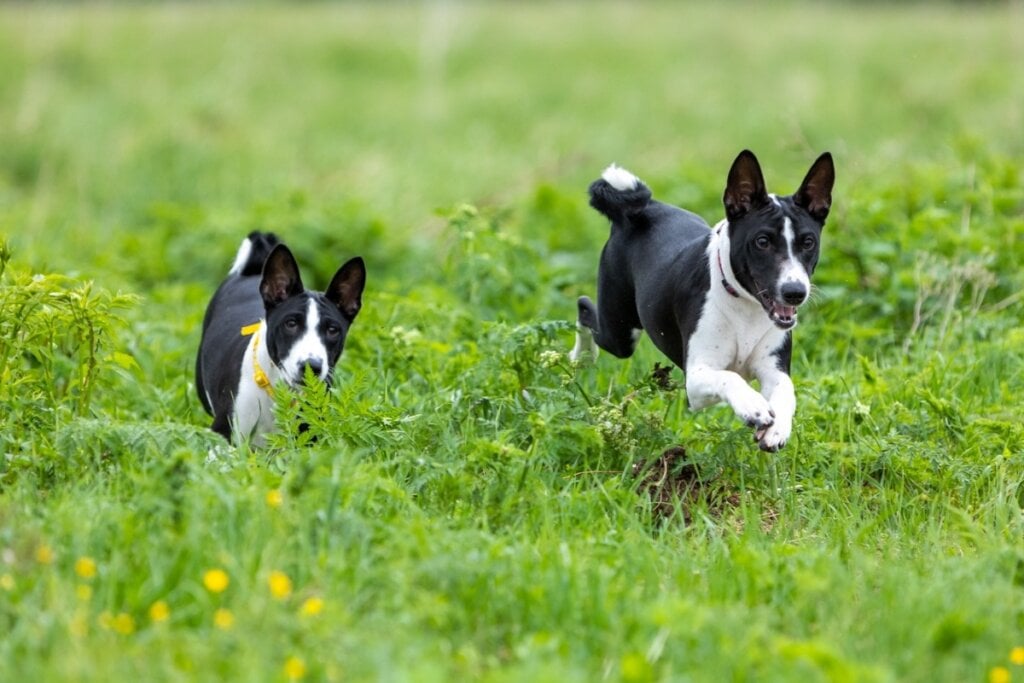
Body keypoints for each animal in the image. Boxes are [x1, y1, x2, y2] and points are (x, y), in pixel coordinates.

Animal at [573, 150, 835, 450]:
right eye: (762, 241)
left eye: (808, 242)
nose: (795, 292)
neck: (745, 308)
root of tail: (639, 210)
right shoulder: (696, 381)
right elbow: (730, 377)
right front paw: (752, 405)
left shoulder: (773, 369)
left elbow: (785, 391)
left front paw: (778, 427)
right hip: (620, 333)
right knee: (585, 308)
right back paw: (579, 357)